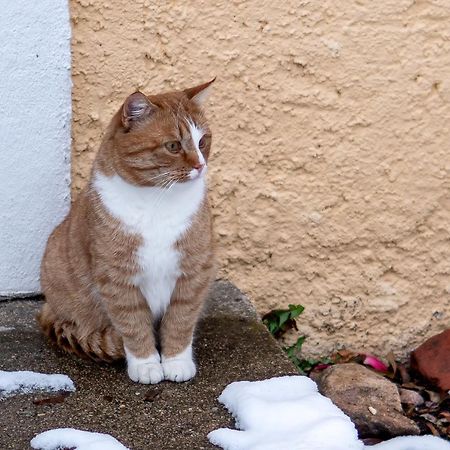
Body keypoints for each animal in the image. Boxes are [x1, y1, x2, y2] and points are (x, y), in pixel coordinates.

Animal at [37, 80, 217, 384]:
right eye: (172, 146)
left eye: (203, 141)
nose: (200, 166)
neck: (159, 201)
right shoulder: (117, 278)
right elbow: (133, 324)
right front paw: (146, 364)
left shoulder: (193, 272)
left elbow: (181, 320)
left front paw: (176, 361)